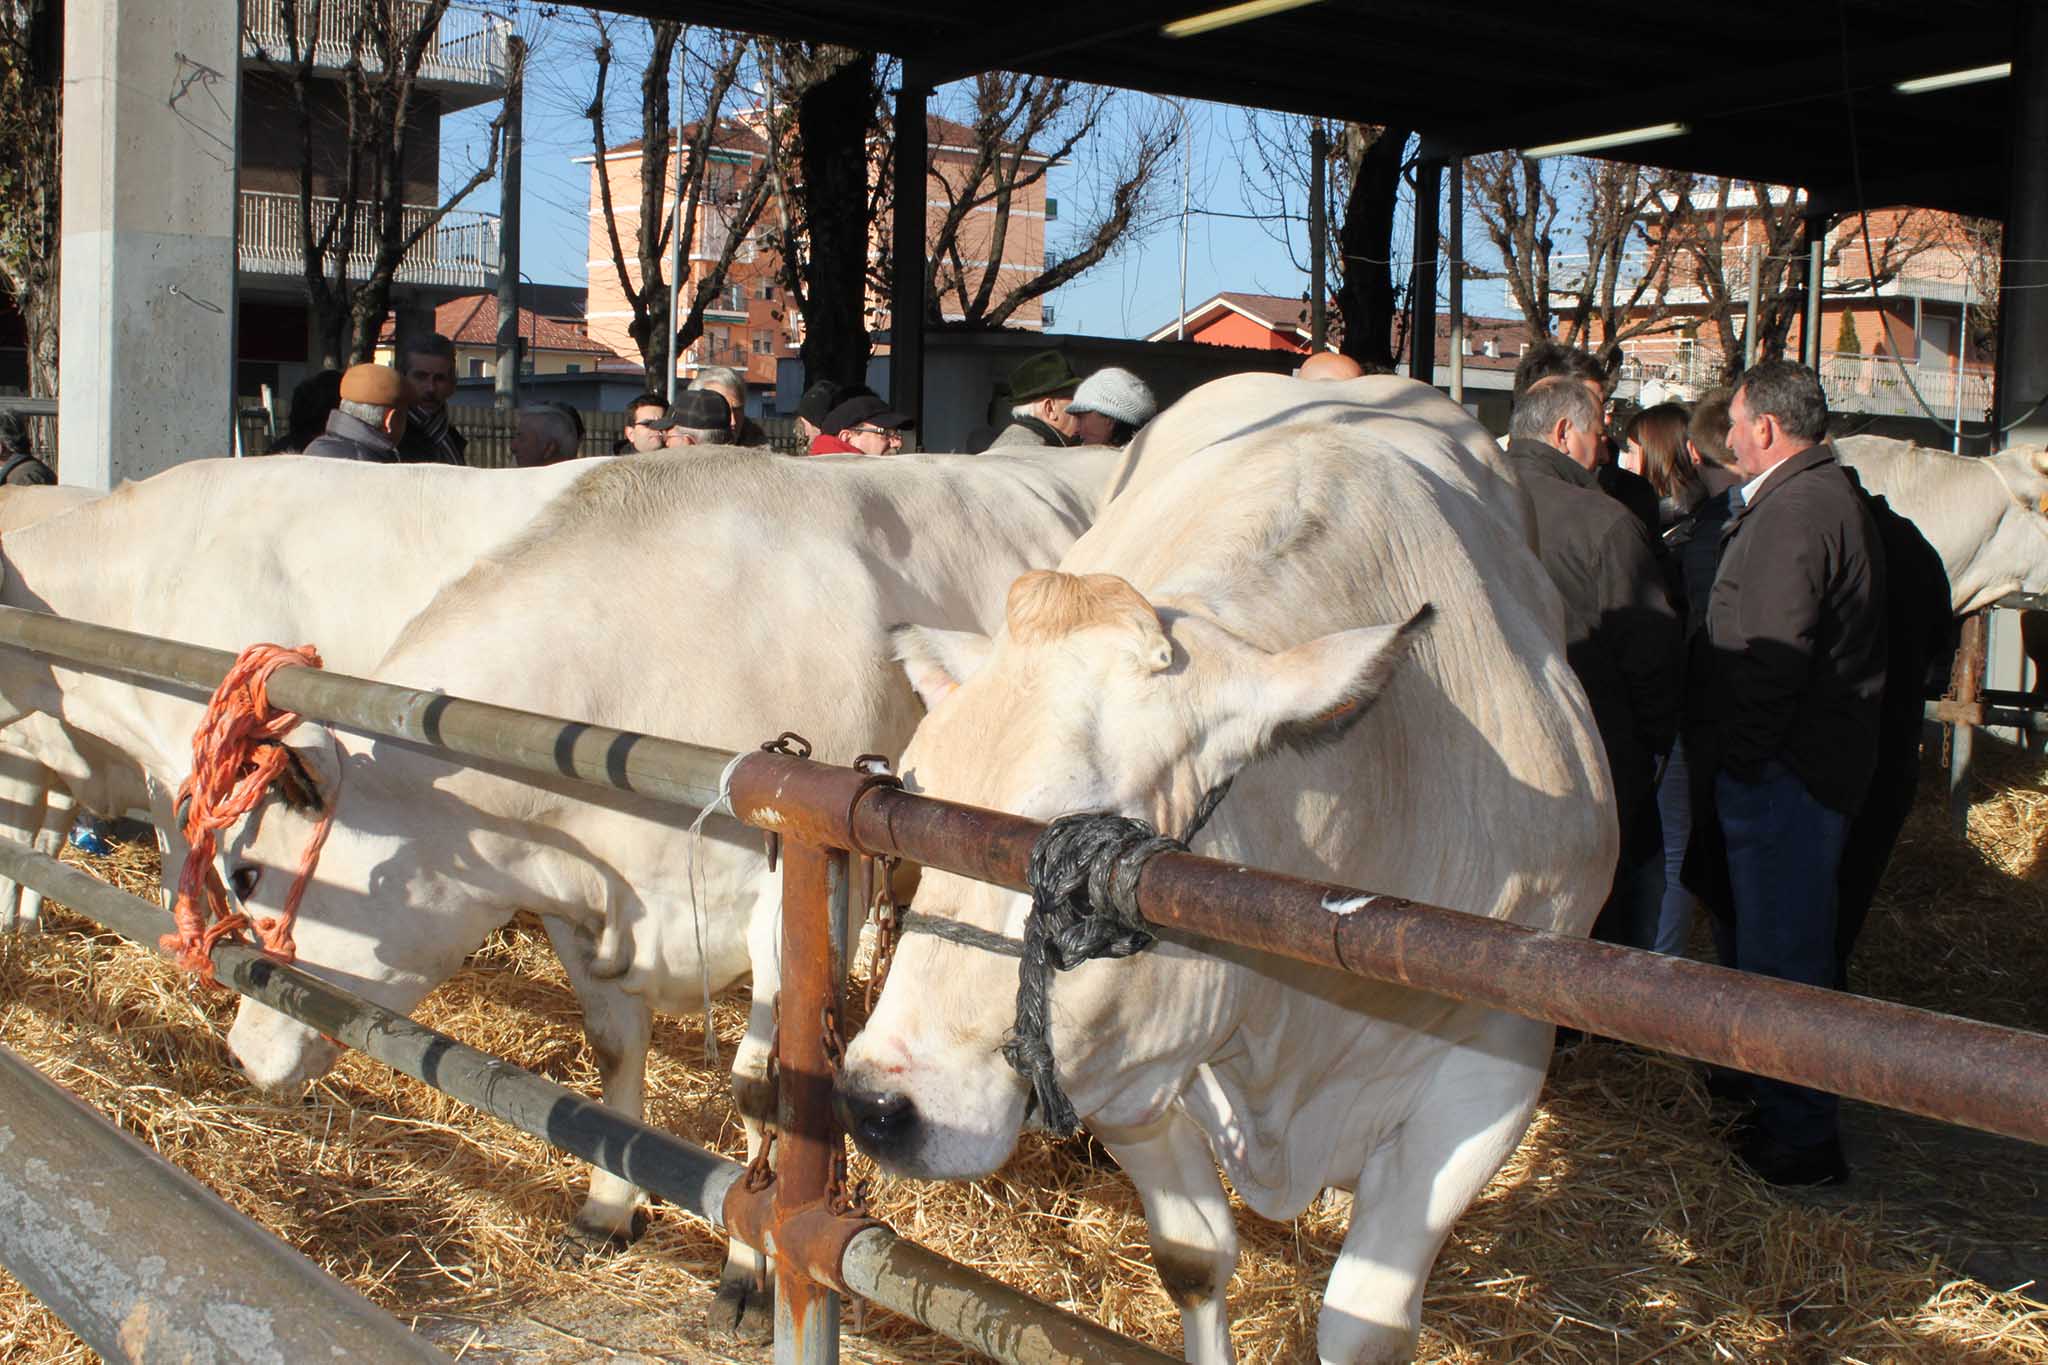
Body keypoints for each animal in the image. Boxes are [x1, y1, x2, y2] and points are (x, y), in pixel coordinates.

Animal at [207, 448, 1122, 1334]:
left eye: (252, 875)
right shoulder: (582, 903)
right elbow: (614, 1049)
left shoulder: (791, 895)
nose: (244, 1052)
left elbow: (766, 1091)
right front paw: (609, 1206)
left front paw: (749, 1271)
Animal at [831, 374, 1613, 1365]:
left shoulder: (1492, 1075)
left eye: (1074, 875)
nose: (874, 1101)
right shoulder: (1131, 1066)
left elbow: (1363, 1323)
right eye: (924, 812)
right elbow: (1194, 1259)